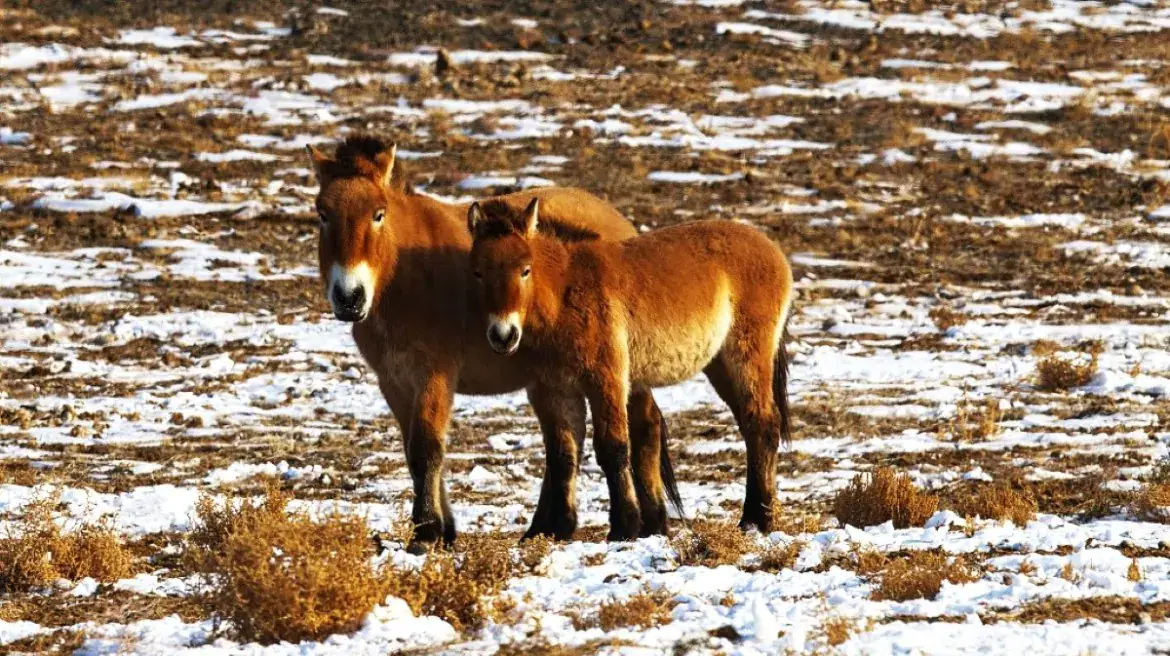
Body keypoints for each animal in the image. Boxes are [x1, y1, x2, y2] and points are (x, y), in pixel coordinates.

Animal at [308, 136, 682, 549]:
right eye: (322, 213)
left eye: (378, 214)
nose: (349, 297)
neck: (404, 276)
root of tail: (619, 224)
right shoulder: (394, 382)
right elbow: (413, 452)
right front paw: (442, 529)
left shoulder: (434, 377)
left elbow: (426, 450)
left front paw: (427, 532)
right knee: (567, 442)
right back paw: (549, 527)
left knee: (643, 426)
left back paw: (650, 522)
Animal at [468, 198, 794, 537]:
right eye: (477, 272)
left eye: (525, 270)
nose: (503, 335)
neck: (565, 292)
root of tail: (771, 248)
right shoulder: (557, 391)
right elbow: (563, 453)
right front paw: (558, 529)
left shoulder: (606, 381)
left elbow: (612, 448)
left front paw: (624, 527)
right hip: (720, 365)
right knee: (752, 426)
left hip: (746, 357)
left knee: (763, 423)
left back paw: (758, 519)